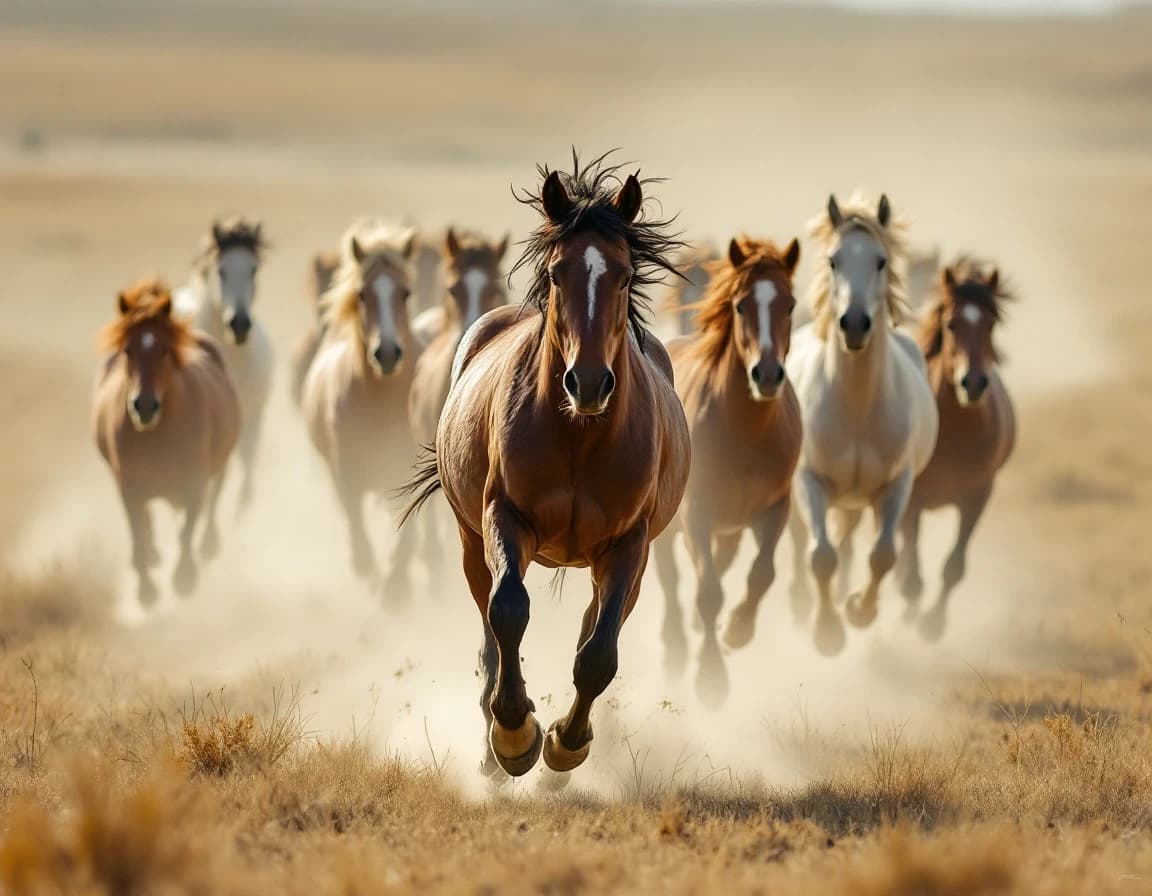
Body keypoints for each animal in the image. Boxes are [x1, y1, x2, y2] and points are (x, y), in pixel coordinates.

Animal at [93, 278, 240, 605]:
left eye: (164, 350)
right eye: (127, 349)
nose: (144, 406)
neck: (158, 435)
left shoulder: (195, 481)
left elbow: (188, 527)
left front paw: (184, 578)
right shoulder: (128, 485)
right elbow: (137, 531)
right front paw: (146, 590)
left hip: (221, 461)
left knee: (214, 497)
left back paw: (208, 543)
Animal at [301, 221, 419, 596]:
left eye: (405, 294)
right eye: (363, 295)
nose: (387, 353)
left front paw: (397, 585)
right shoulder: (345, 469)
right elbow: (355, 522)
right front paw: (369, 570)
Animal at [653, 236, 803, 704]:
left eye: (790, 304)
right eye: (740, 306)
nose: (767, 374)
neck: (747, 432)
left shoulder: (774, 507)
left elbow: (762, 574)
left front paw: (738, 629)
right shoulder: (696, 512)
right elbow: (707, 590)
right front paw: (710, 679)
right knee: (670, 578)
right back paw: (676, 648)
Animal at [787, 193, 939, 656]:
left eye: (881, 261)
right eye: (834, 260)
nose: (854, 325)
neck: (855, 407)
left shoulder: (896, 485)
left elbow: (882, 554)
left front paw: (858, 610)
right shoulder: (809, 480)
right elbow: (820, 554)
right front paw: (827, 632)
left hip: (855, 501)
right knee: (802, 540)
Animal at [896, 258, 1016, 640]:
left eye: (991, 323)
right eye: (951, 323)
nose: (973, 383)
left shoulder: (978, 494)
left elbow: (954, 566)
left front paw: (932, 624)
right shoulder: (912, 496)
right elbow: (911, 574)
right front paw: (911, 609)